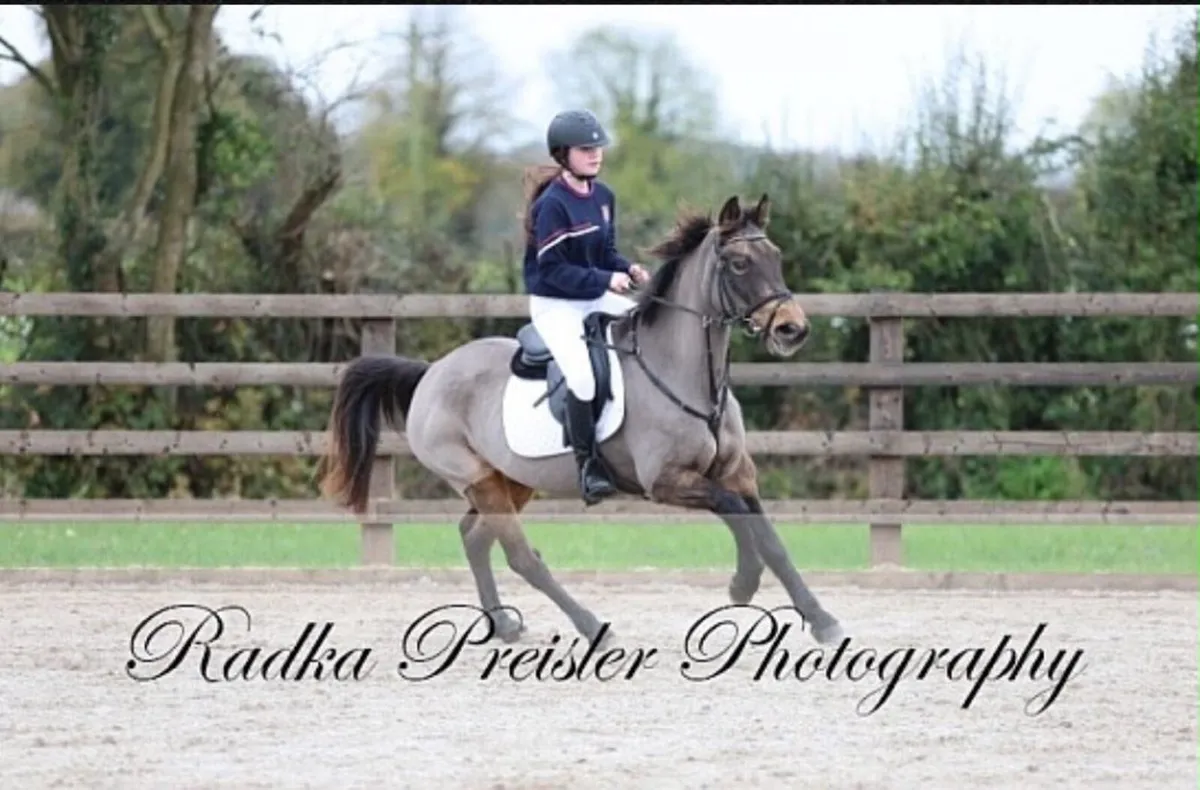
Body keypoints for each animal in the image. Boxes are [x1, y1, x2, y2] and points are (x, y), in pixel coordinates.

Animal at [318, 193, 845, 647]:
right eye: (739, 264)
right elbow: (734, 513)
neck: (689, 375)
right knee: (520, 556)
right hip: (478, 479)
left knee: (475, 538)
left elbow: (771, 540)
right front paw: (742, 583)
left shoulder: (738, 472)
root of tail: (431, 373)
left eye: (775, 256)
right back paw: (592, 627)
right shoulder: (668, 481)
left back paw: (504, 625)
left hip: (510, 481)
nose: (793, 330)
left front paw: (822, 621)